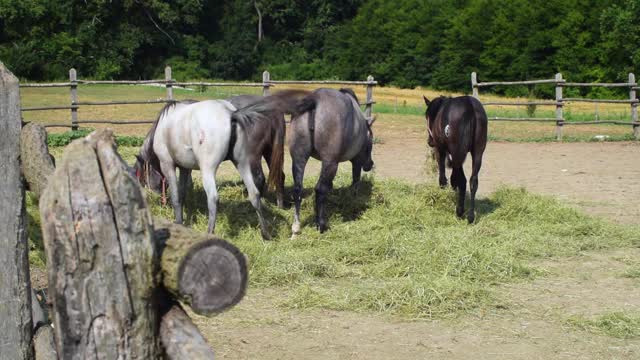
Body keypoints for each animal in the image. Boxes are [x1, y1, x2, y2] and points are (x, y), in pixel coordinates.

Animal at [136, 99, 272, 239]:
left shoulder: (167, 165)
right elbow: (182, 194)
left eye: (142, 179)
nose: (157, 199)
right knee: (254, 194)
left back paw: (209, 233)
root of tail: (230, 114)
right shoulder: (185, 169)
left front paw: (178, 222)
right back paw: (265, 234)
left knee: (212, 198)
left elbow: (175, 197)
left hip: (208, 170)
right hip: (242, 163)